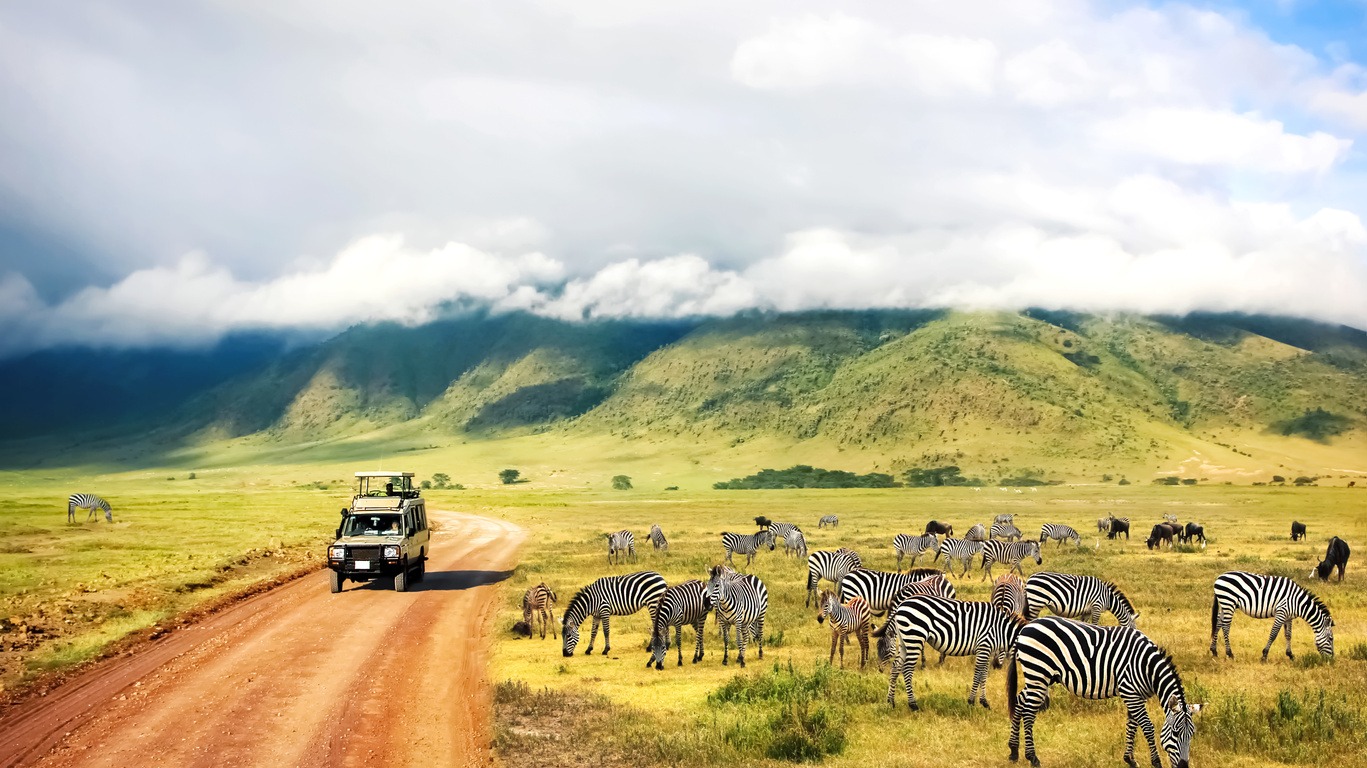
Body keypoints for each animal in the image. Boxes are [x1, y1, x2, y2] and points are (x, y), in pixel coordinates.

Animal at [874, 595, 1027, 710]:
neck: (1001, 630)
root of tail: (901, 605)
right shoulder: (983, 646)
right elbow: (978, 674)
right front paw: (971, 701)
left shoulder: (988, 650)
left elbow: (984, 675)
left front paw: (984, 702)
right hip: (915, 637)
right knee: (907, 669)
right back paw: (913, 705)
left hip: (905, 641)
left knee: (896, 667)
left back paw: (890, 701)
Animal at [1006, 612, 1197, 765]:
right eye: (1175, 733)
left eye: (1192, 735)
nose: (1183, 766)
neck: (1147, 667)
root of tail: (1025, 628)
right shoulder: (1130, 692)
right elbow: (1147, 727)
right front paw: (1155, 762)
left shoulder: (1136, 695)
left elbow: (1132, 725)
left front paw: (1130, 759)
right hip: (1038, 671)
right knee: (1029, 712)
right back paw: (1033, 757)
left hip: (1040, 677)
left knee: (1020, 700)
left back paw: (1014, 751)